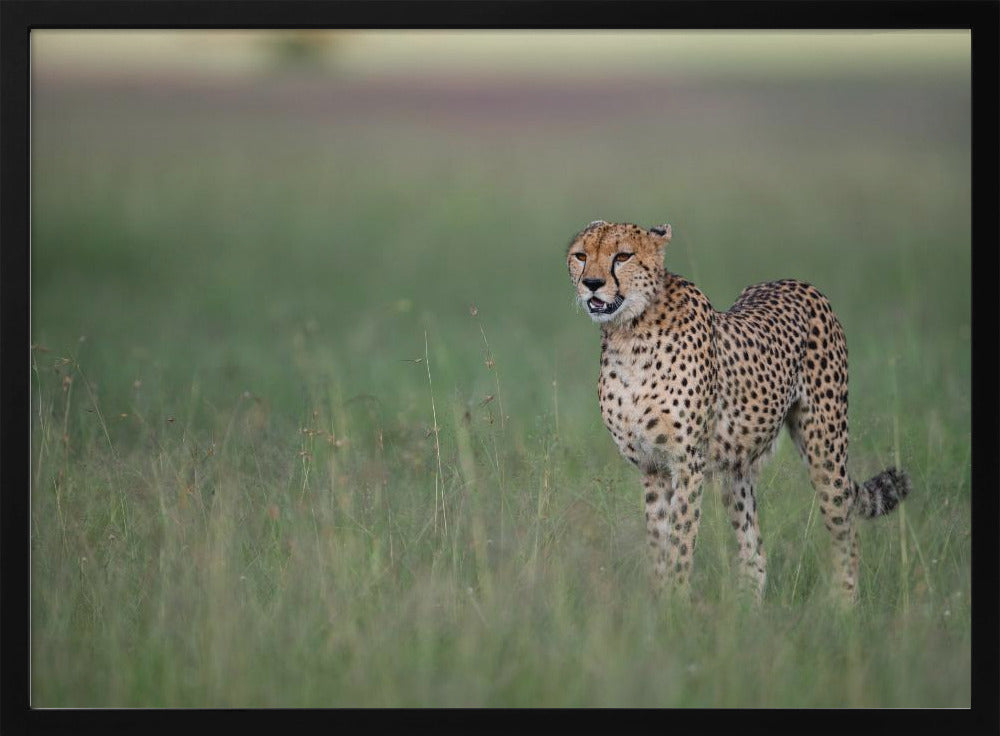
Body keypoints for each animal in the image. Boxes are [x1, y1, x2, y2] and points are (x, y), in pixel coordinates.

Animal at [566, 219, 910, 602]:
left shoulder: (687, 463)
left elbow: (681, 541)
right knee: (755, 551)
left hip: (825, 450)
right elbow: (658, 542)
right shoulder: (652, 467)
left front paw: (676, 604)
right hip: (737, 470)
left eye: (622, 256)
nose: (591, 283)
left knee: (845, 529)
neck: (628, 334)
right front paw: (658, 602)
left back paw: (844, 606)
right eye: (581, 255)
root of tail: (795, 282)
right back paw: (749, 610)